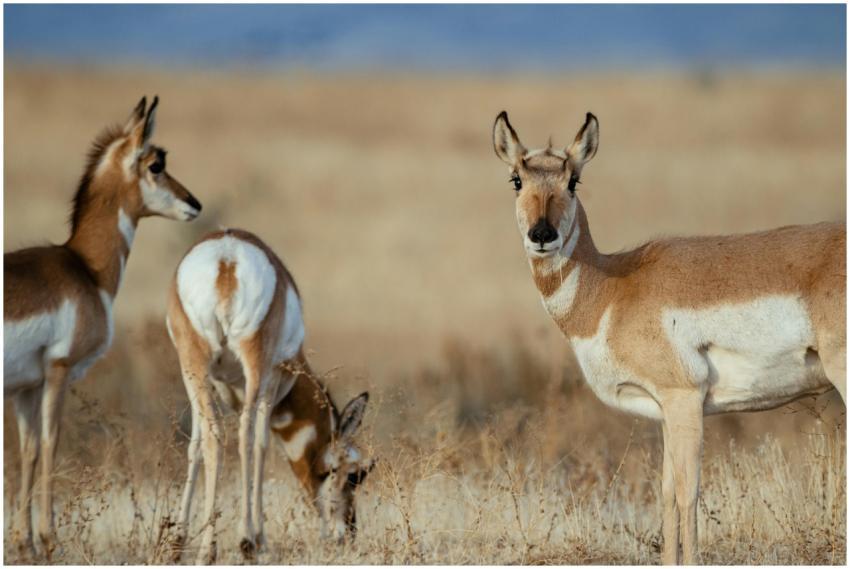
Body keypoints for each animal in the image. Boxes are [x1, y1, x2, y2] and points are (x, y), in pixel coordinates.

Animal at [4, 96, 202, 556]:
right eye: (155, 164)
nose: (194, 203)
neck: (85, 269)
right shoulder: (58, 372)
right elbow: (51, 442)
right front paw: (48, 538)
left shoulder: (26, 387)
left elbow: (28, 451)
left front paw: (25, 544)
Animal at [166, 228, 373, 564]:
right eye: (355, 473)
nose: (347, 534)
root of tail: (226, 259)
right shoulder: (273, 382)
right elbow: (261, 444)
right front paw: (258, 537)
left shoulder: (206, 383)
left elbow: (195, 447)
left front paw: (177, 541)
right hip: (255, 366)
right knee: (245, 437)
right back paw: (245, 541)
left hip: (192, 364)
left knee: (214, 437)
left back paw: (207, 549)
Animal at [492, 111, 845, 564]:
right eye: (517, 179)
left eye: (573, 180)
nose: (542, 234)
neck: (613, 289)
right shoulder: (664, 411)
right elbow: (664, 494)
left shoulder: (684, 400)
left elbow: (686, 493)